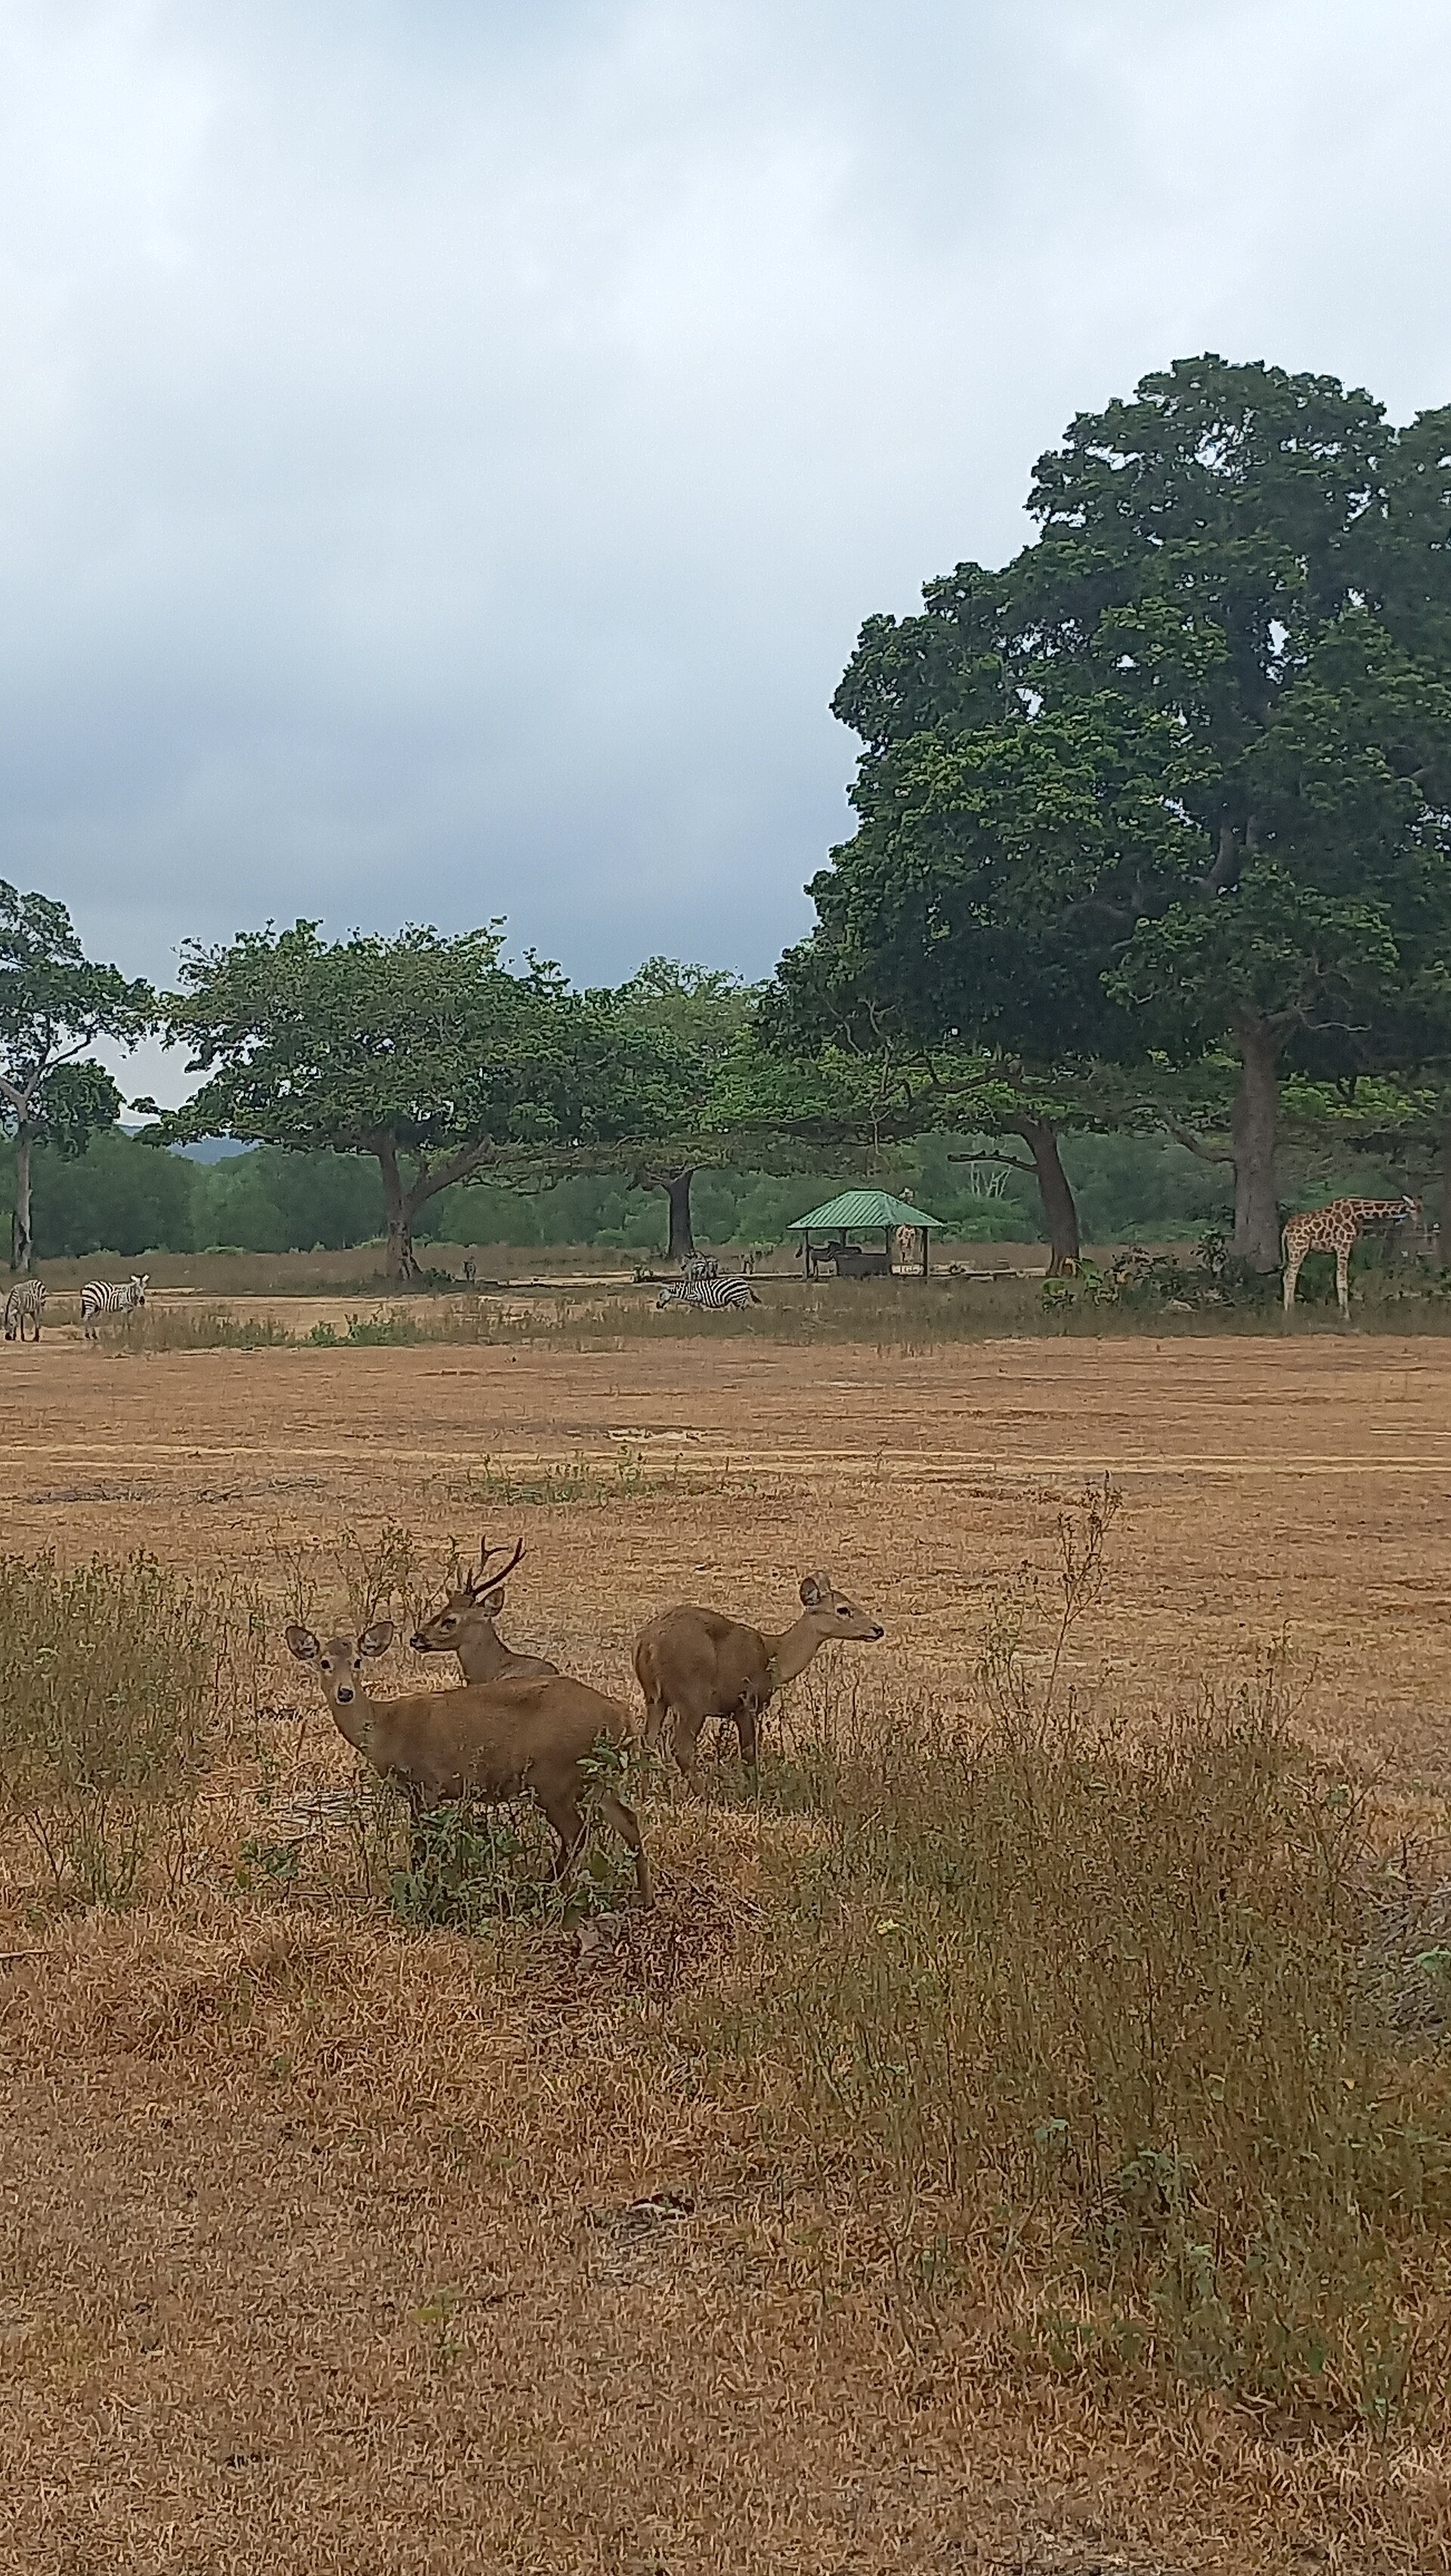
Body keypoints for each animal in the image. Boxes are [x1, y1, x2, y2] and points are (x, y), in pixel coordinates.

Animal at [285, 1619, 651, 1902]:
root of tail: (619, 1713)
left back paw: (545, 1888)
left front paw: (423, 1892)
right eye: (324, 1662)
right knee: (629, 1821)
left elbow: (422, 1845)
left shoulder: (427, 1782)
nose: (345, 1692)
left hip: (554, 1776)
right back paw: (644, 1898)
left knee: (577, 1832)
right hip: (593, 1778)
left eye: (359, 1661)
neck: (387, 1728)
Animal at [634, 1573, 885, 1790]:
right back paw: (704, 1794)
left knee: (647, 1743)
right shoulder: (747, 1703)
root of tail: (648, 1644)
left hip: (655, 1698)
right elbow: (749, 1755)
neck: (774, 1656)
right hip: (692, 1697)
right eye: (843, 1609)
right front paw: (753, 1792)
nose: (878, 1629)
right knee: (681, 1749)